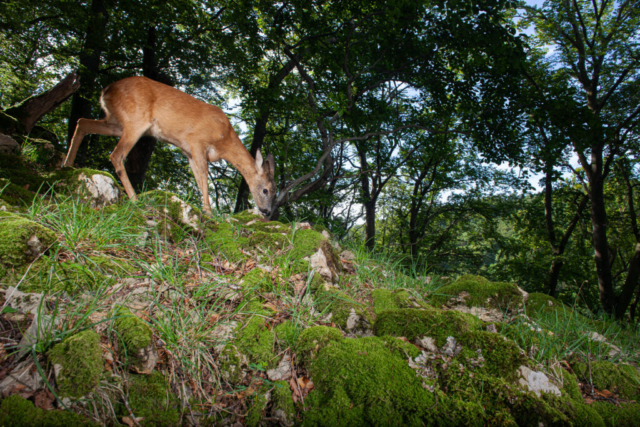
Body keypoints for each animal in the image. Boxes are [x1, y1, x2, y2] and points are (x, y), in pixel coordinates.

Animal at [63, 76, 276, 217]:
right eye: (266, 190)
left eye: (275, 192)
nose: (267, 211)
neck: (225, 140)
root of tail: (106, 90)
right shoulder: (196, 140)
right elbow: (205, 177)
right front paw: (209, 213)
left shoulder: (188, 152)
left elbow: (198, 179)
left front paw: (204, 209)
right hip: (135, 121)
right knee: (116, 155)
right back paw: (135, 199)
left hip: (115, 121)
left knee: (83, 123)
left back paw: (67, 166)